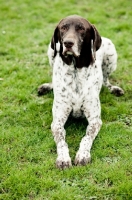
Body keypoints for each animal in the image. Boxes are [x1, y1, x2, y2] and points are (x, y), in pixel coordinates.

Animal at [38, 15, 124, 169]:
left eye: (81, 29)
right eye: (63, 27)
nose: (68, 43)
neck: (75, 70)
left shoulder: (95, 120)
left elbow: (86, 138)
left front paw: (83, 155)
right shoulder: (57, 121)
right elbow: (61, 141)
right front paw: (63, 158)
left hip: (111, 53)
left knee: (106, 80)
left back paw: (114, 88)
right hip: (51, 50)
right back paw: (47, 86)